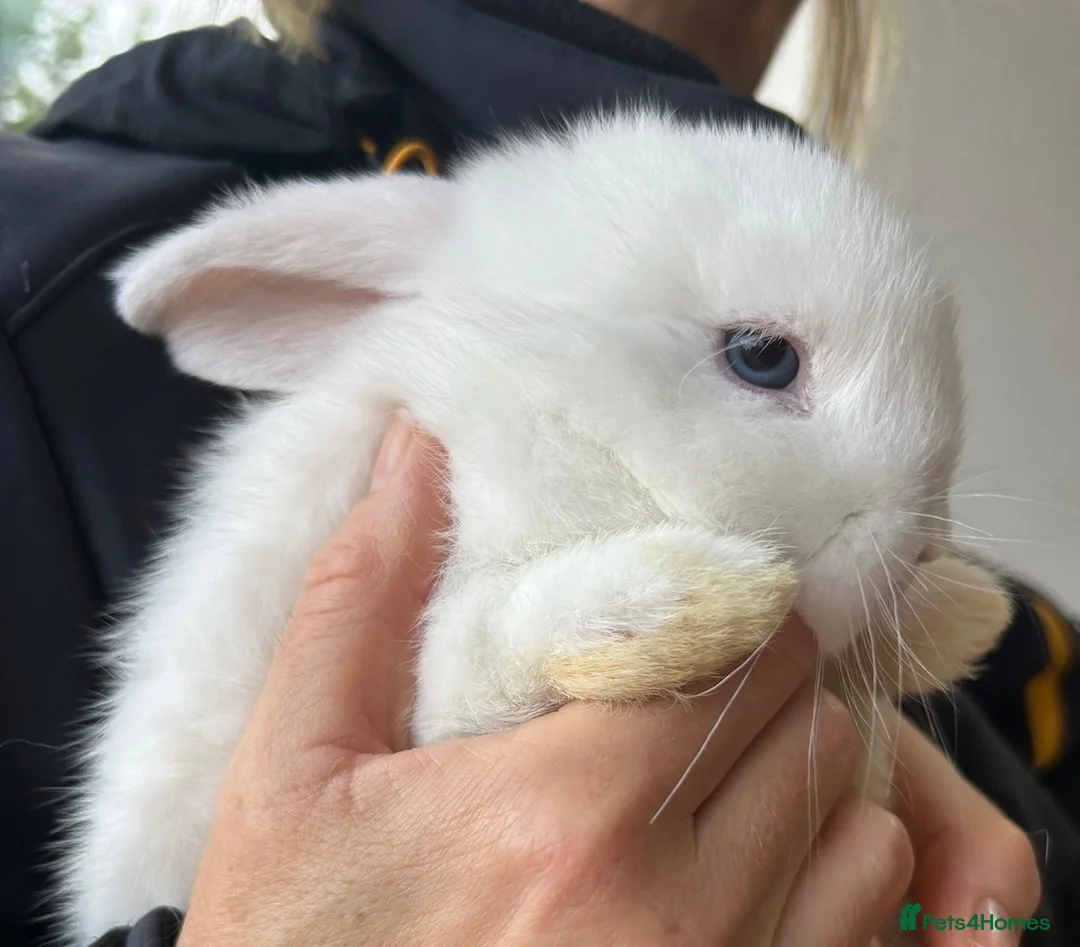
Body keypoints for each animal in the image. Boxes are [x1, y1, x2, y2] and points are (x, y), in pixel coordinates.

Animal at [58, 107, 1013, 944]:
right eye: (763, 357)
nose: (923, 543)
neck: (558, 419)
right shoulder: (436, 709)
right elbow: (486, 649)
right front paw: (693, 603)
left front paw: (968, 611)